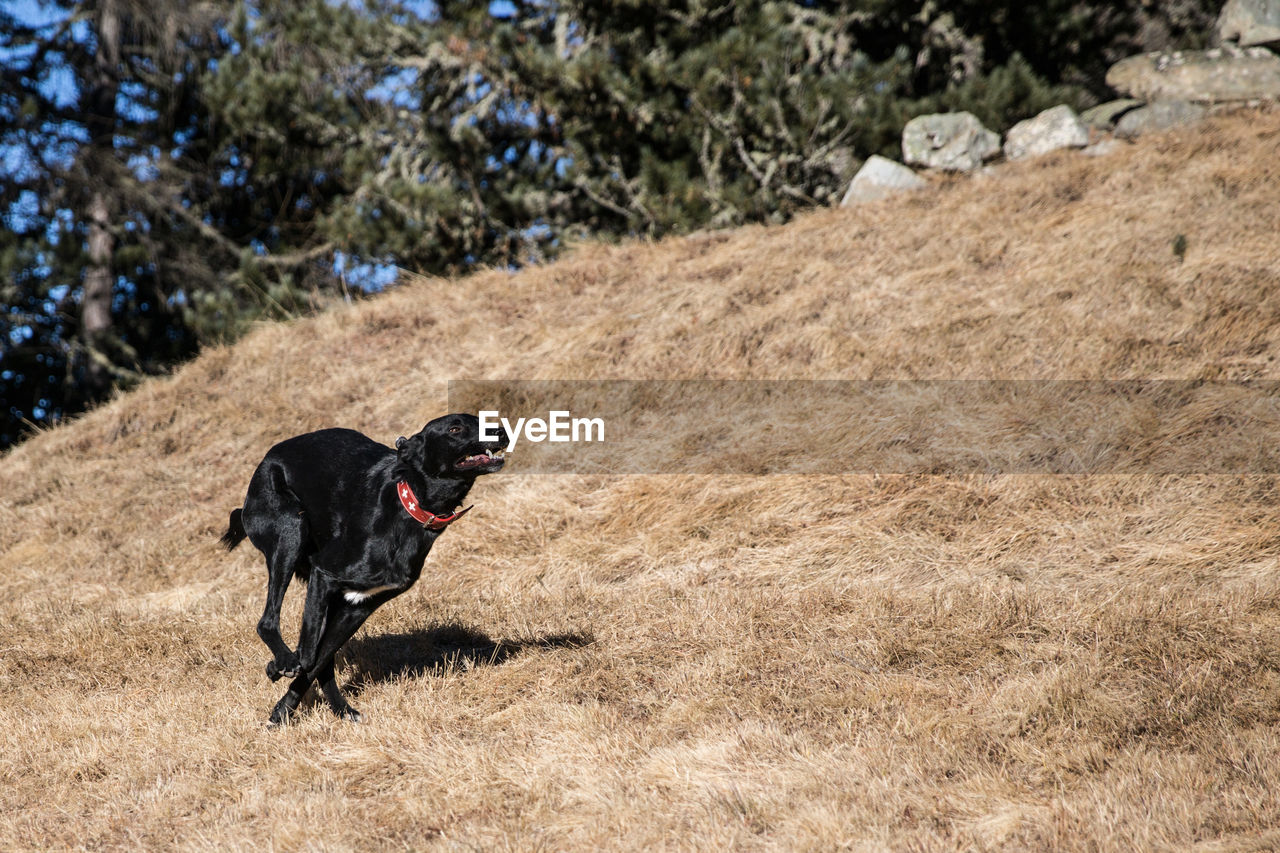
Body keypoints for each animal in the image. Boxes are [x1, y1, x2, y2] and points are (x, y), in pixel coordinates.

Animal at [220, 412, 504, 722]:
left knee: (322, 659)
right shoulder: (324, 574)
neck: (409, 504)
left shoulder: (359, 606)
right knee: (268, 622)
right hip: (290, 530)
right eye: (454, 428)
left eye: (479, 419)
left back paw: (340, 709)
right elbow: (307, 655)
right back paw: (284, 660)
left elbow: (318, 659)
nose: (502, 431)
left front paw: (283, 710)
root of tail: (266, 460)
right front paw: (278, 670)